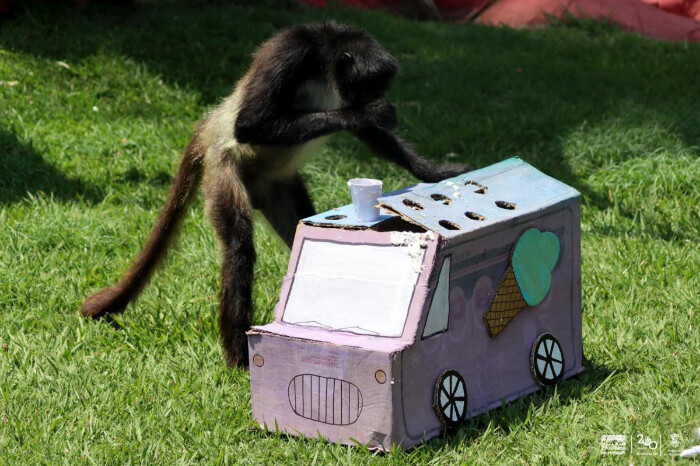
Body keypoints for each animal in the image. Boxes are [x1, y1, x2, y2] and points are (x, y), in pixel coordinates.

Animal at [79, 20, 468, 368]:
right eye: (372, 89)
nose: (379, 98)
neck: (323, 59)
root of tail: (208, 128)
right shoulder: (289, 51)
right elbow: (250, 124)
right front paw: (362, 113)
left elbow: (374, 135)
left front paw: (434, 172)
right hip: (225, 171)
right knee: (239, 247)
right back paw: (239, 358)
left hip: (277, 185)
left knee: (299, 231)